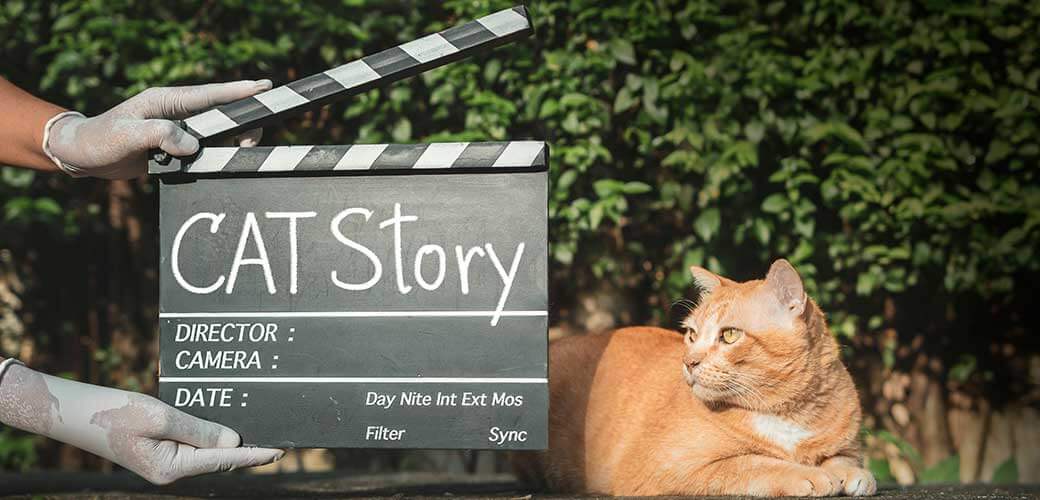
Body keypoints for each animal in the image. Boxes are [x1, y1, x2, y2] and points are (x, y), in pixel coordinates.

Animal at [515, 258, 873, 492]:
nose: (689, 362)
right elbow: (750, 462)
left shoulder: (847, 446)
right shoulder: (663, 468)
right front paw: (806, 474)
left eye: (729, 335)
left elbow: (844, 458)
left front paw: (853, 474)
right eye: (691, 334)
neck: (787, 413)